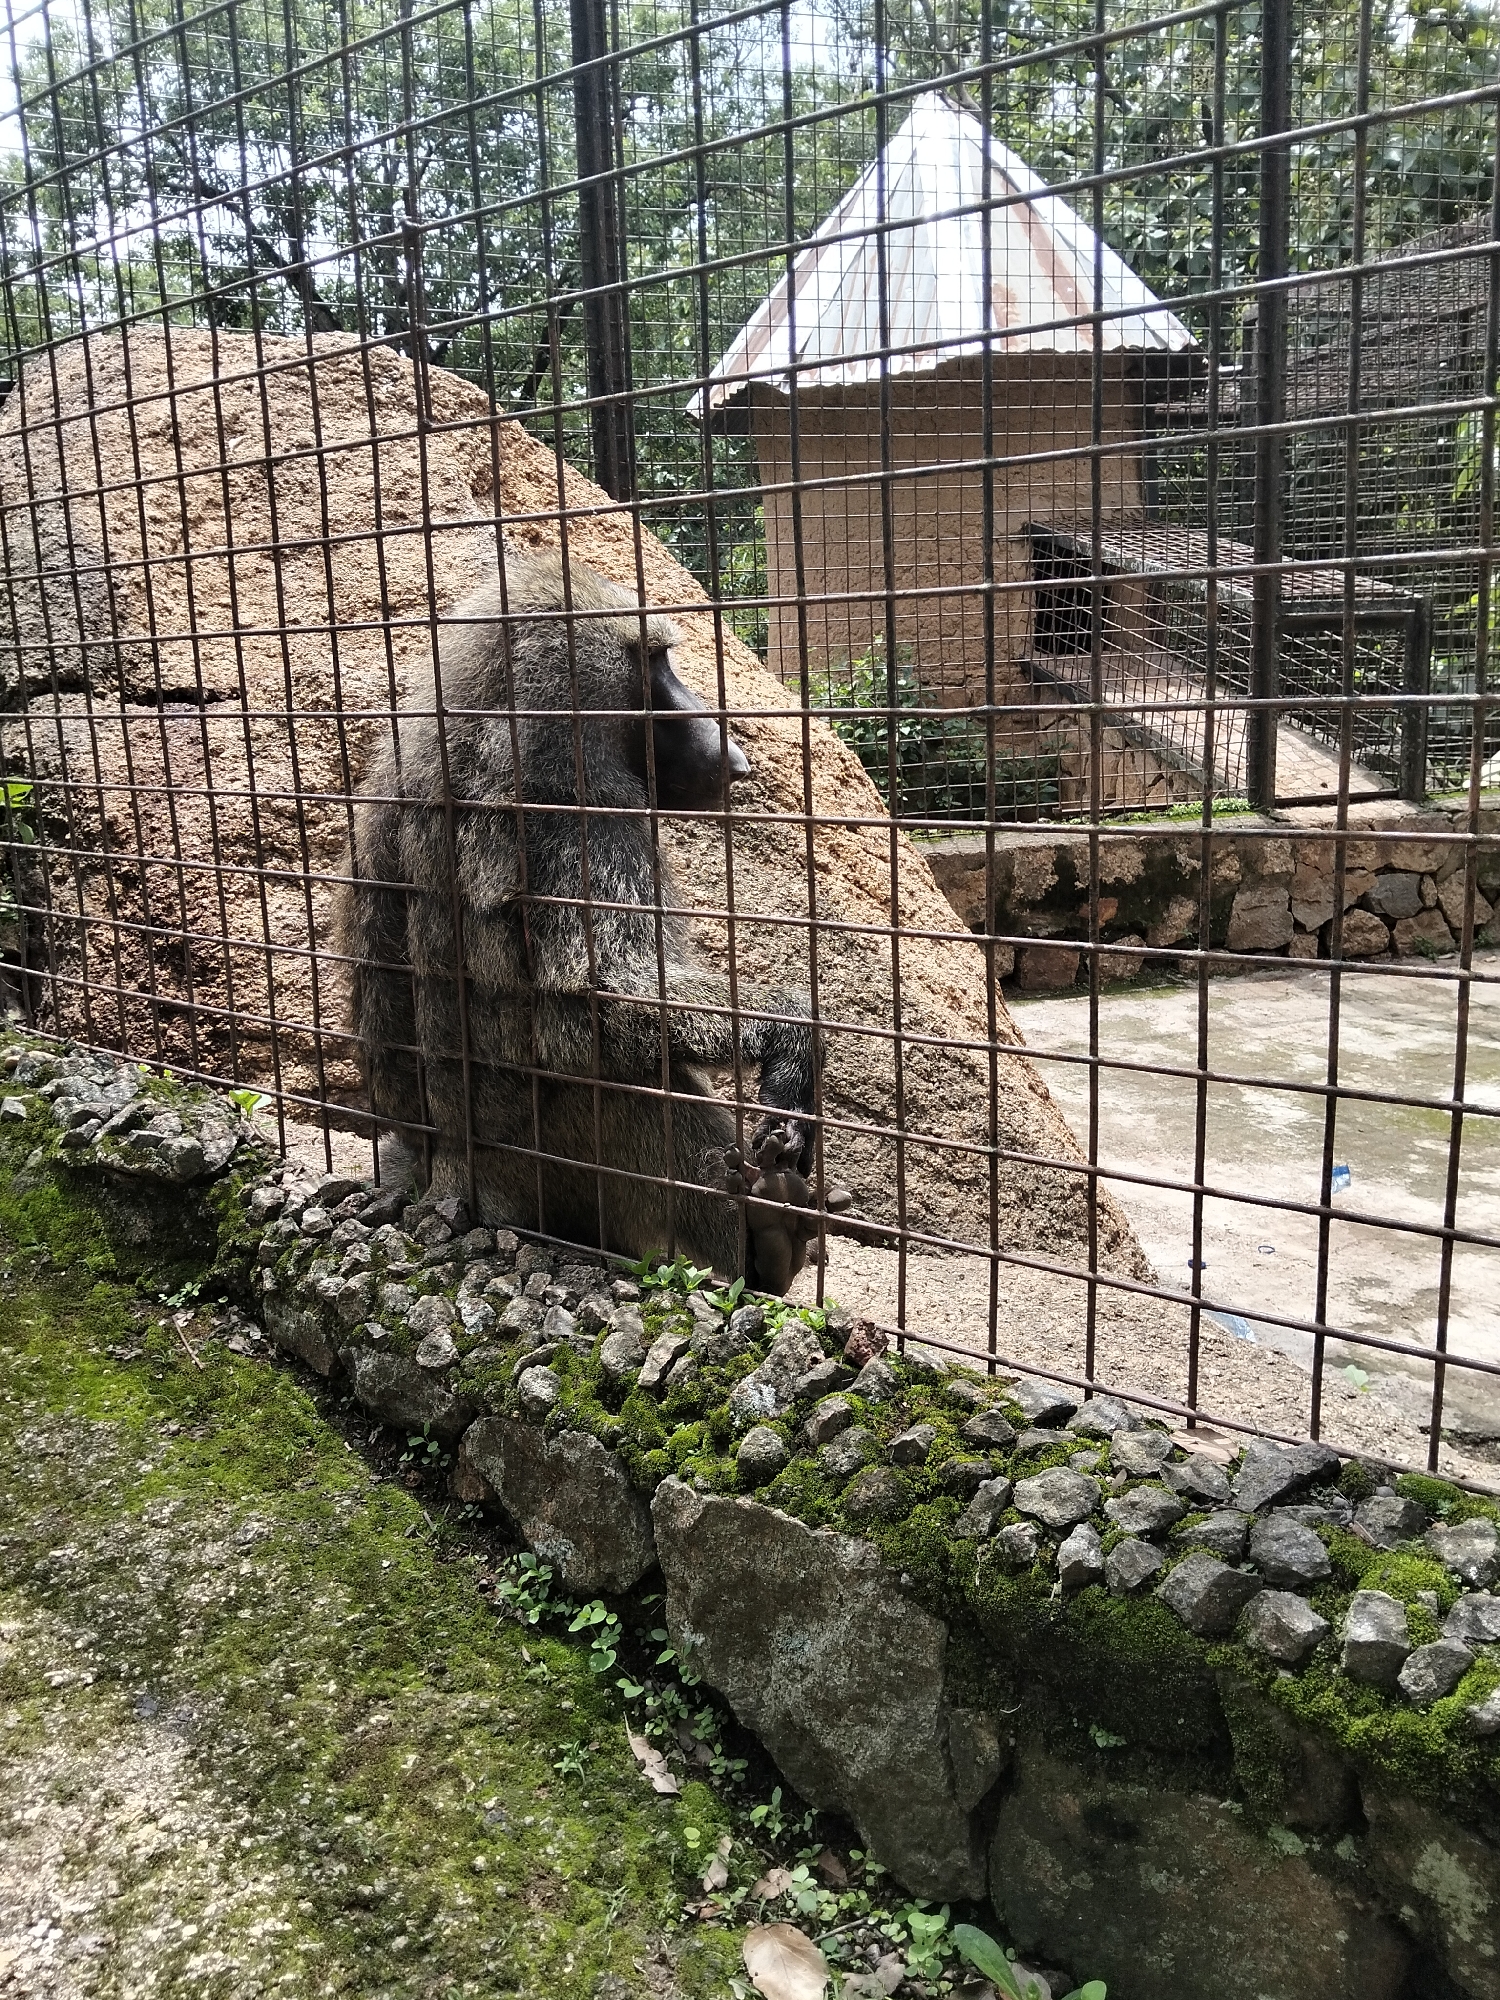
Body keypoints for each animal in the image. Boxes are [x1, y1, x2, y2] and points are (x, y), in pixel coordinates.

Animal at [336, 549, 851, 1292]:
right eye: (653, 663)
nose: (734, 755)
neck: (489, 729)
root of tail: (456, 1180)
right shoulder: (588, 821)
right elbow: (593, 1001)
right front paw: (792, 1038)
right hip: (565, 1168)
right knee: (637, 1080)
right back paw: (768, 1240)